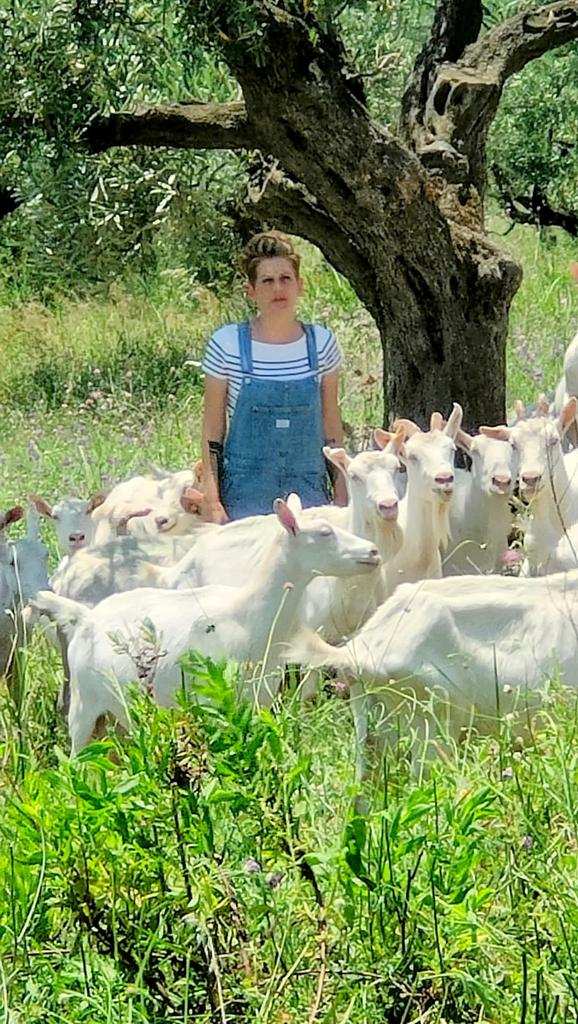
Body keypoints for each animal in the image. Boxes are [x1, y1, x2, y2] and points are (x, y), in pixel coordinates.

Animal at [33, 495, 381, 753]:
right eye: (324, 533)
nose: (374, 551)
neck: (250, 614)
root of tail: (85, 616)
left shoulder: (259, 701)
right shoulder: (211, 702)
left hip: (118, 717)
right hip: (83, 708)